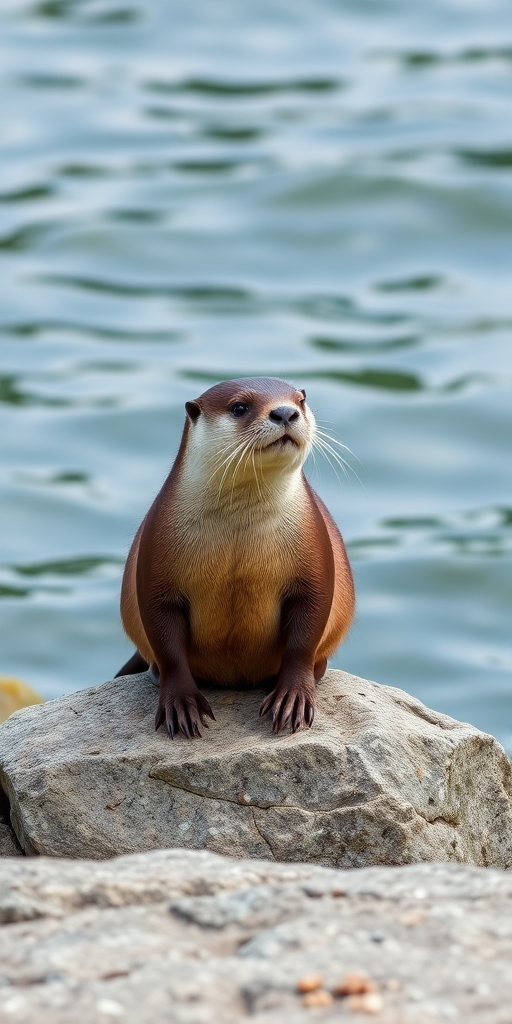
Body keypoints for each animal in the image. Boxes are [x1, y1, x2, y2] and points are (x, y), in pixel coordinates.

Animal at [116, 377, 354, 739]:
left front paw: (293, 697)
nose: (285, 412)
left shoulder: (316, 561)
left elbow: (305, 637)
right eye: (240, 407)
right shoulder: (154, 567)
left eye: (300, 400)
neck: (239, 532)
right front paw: (181, 703)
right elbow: (166, 645)